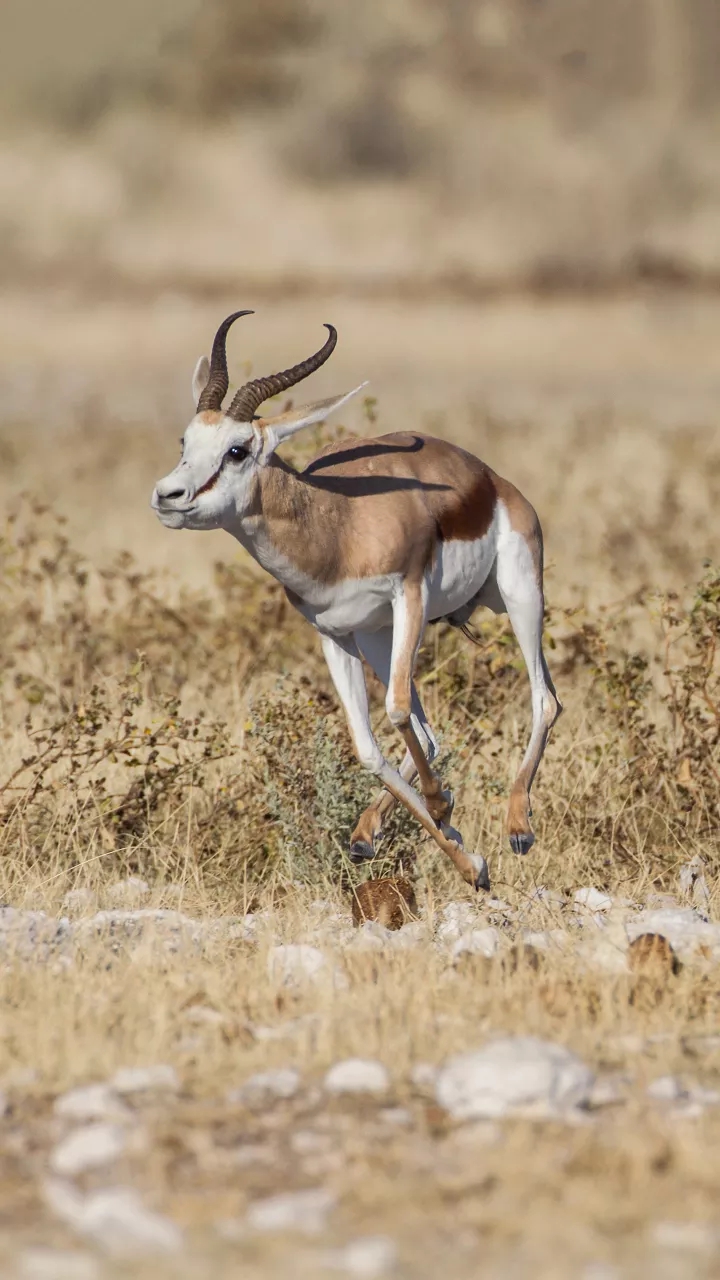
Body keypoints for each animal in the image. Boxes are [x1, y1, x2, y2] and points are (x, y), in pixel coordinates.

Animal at [151, 312, 561, 891]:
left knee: (543, 699)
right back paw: (372, 835)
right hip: (378, 638)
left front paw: (443, 808)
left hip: (519, 594)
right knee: (428, 737)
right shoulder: (335, 633)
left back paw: (517, 826)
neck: (338, 526)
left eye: (237, 450)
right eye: (185, 439)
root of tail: (492, 479)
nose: (168, 496)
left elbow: (394, 710)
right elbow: (368, 746)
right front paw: (467, 857)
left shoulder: (408, 597)